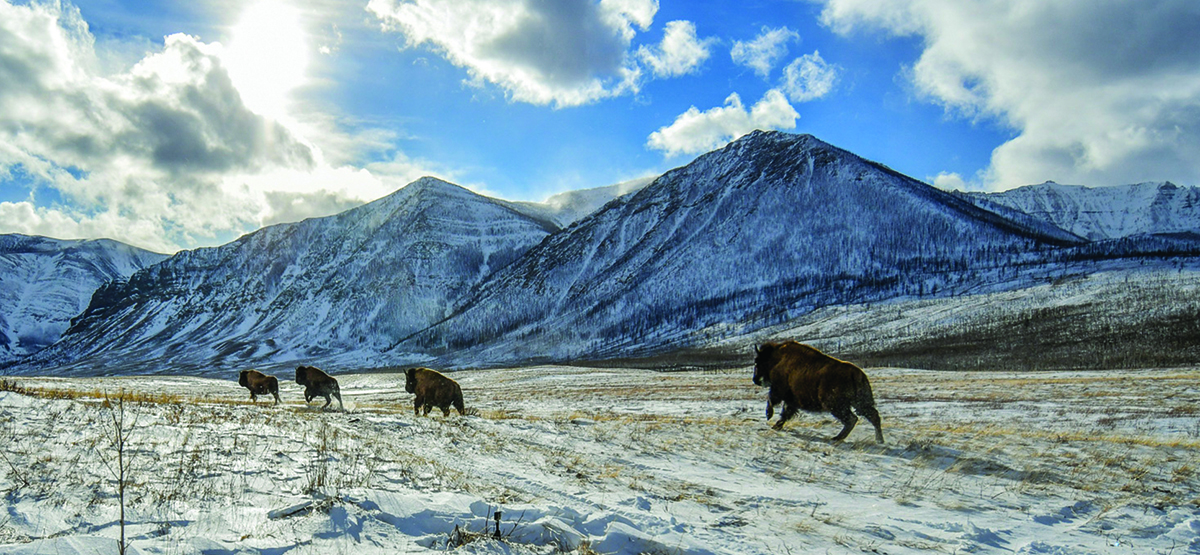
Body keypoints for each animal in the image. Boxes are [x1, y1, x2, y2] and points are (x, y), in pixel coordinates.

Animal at [753, 341, 883, 443]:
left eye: (757, 361)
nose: (755, 379)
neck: (776, 359)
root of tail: (856, 374)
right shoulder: (791, 400)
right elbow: (785, 412)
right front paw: (776, 426)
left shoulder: (779, 391)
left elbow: (771, 400)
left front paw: (769, 416)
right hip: (859, 403)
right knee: (873, 416)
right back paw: (879, 440)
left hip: (835, 405)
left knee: (852, 419)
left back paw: (836, 438)